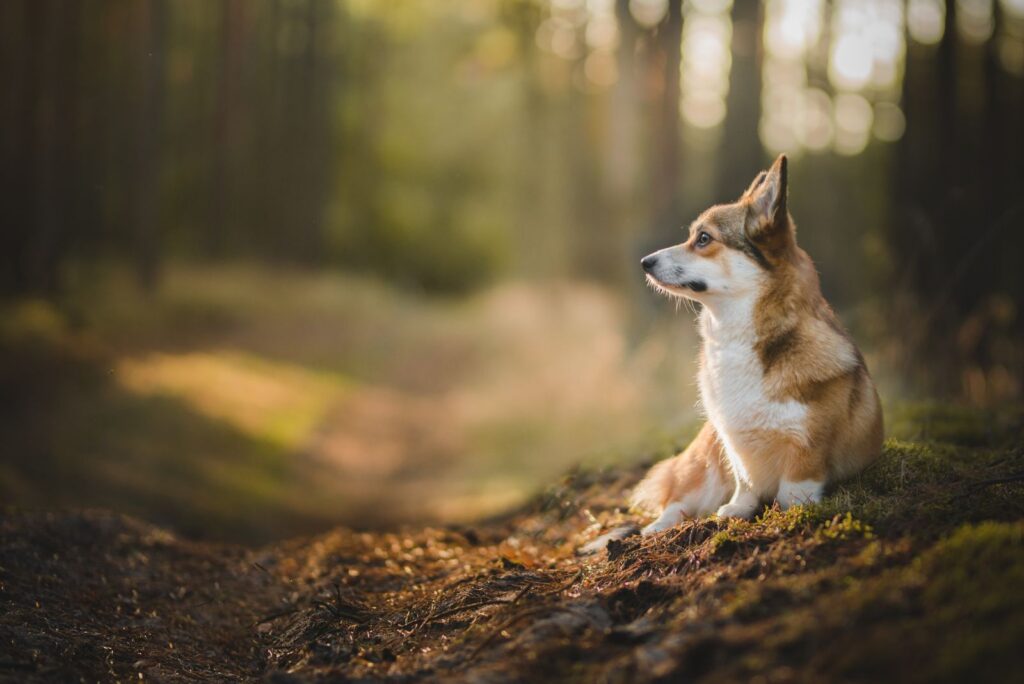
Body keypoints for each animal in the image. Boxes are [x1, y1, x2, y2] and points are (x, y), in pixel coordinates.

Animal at [630, 154, 880, 532]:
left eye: (703, 238)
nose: (645, 262)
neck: (737, 340)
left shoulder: (806, 451)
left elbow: (792, 492)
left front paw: (785, 513)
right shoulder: (734, 447)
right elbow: (744, 481)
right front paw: (737, 509)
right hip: (703, 464)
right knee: (677, 503)